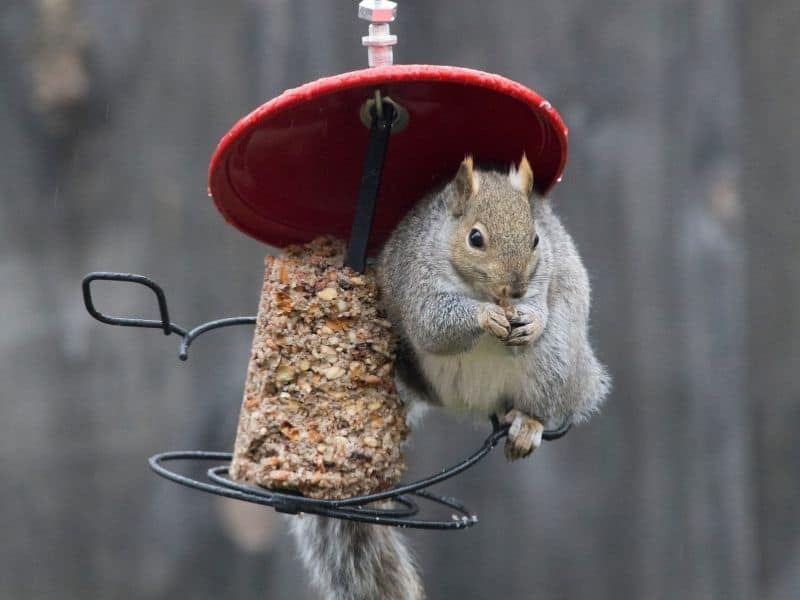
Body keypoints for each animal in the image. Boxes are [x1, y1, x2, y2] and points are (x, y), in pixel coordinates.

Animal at [290, 155, 608, 600]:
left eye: (535, 240)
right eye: (475, 238)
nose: (515, 288)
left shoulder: (543, 274)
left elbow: (539, 306)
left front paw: (529, 319)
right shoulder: (417, 280)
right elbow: (433, 324)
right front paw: (484, 317)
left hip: (556, 362)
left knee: (543, 401)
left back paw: (528, 423)